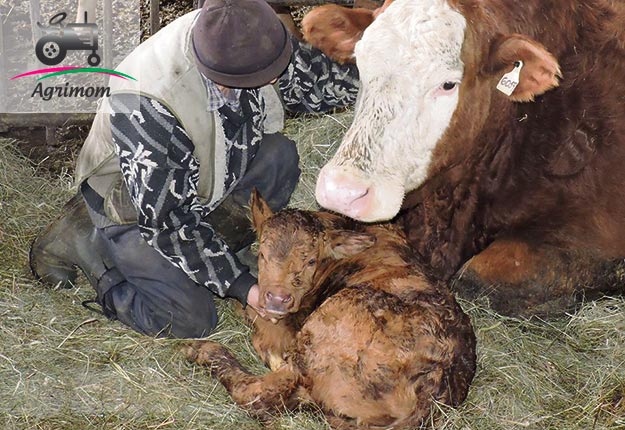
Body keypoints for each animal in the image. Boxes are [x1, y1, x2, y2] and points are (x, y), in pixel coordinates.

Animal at [183, 191, 476, 430]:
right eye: (263, 254)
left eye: (311, 261)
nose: (277, 299)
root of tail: (437, 380)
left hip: (322, 333)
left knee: (258, 393)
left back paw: (203, 350)